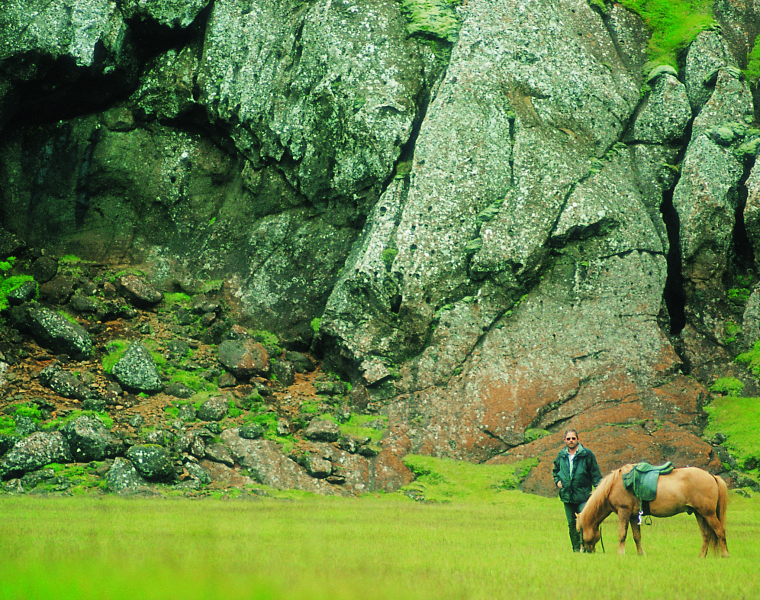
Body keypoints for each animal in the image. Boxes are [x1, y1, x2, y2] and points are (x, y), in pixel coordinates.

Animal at [576, 464, 729, 557]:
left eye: (580, 530)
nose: (585, 551)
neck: (615, 484)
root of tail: (712, 476)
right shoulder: (633, 516)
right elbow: (637, 536)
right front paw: (641, 553)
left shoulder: (623, 512)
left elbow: (622, 534)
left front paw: (620, 553)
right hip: (700, 514)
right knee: (706, 535)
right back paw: (701, 556)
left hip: (708, 514)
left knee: (720, 531)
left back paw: (725, 554)